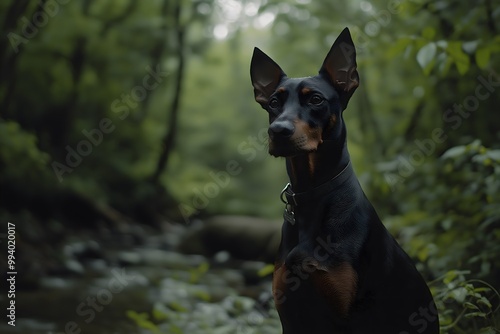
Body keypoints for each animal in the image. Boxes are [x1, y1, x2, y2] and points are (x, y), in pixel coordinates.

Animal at [250, 28, 438, 334]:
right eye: (274, 102)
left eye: (315, 99)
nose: (277, 130)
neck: (312, 194)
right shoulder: (289, 313)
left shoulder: (348, 315)